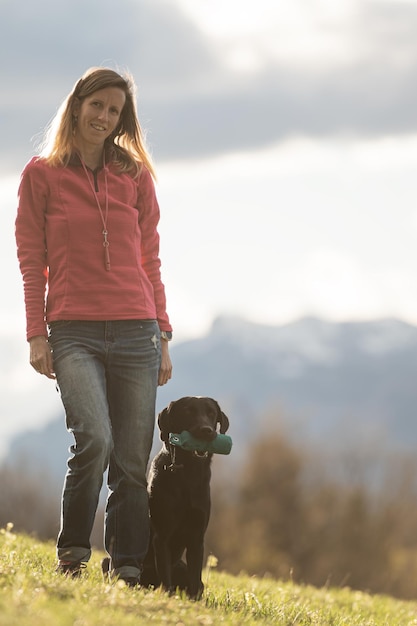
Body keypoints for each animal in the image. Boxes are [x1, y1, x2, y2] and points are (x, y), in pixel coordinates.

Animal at [141, 392, 229, 596]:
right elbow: (165, 575)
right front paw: (167, 595)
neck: (188, 472)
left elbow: (195, 578)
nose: (206, 431)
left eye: (211, 413)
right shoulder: (162, 535)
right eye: (188, 412)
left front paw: (194, 599)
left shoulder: (197, 537)